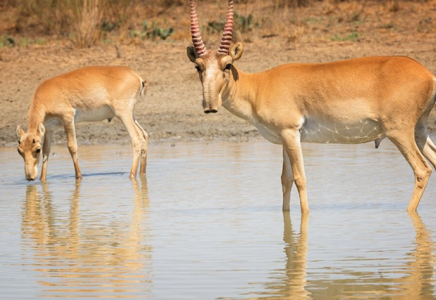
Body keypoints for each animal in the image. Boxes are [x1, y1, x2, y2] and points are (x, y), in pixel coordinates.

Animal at [16, 66, 149, 182]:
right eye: (19, 150)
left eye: (36, 150)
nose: (30, 177)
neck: (45, 94)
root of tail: (137, 76)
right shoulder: (49, 129)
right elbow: (47, 151)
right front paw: (42, 180)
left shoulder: (68, 118)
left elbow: (72, 146)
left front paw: (79, 176)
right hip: (130, 115)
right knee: (144, 135)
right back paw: (142, 173)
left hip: (123, 114)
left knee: (136, 138)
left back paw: (131, 175)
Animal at [187, 0, 436, 213]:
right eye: (199, 66)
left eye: (227, 65)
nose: (210, 105)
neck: (258, 86)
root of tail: (427, 74)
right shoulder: (284, 140)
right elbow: (285, 180)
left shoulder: (290, 133)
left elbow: (300, 179)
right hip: (419, 131)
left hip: (399, 132)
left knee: (422, 170)